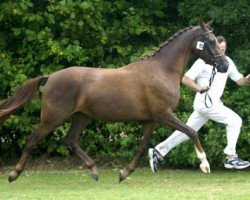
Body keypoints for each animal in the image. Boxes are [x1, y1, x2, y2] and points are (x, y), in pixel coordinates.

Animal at [0, 19, 229, 182]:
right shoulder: (164, 115)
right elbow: (191, 132)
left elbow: (142, 147)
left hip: (81, 117)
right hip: (52, 118)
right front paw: (204, 164)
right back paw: (14, 174)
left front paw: (124, 173)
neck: (162, 70)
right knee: (32, 140)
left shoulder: (150, 120)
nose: (225, 65)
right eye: (210, 42)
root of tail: (50, 77)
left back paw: (93, 170)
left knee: (71, 140)